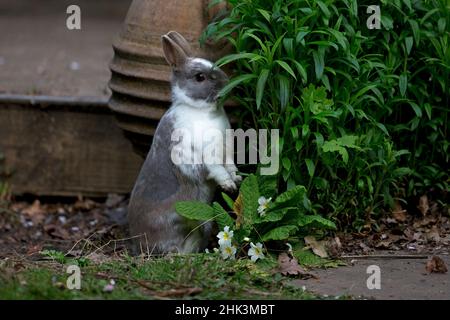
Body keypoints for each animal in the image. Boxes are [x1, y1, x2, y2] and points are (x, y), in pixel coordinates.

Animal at [126, 30, 243, 255]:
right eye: (200, 77)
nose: (227, 83)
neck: (200, 110)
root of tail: (137, 244)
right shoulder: (207, 154)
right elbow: (217, 170)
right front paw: (228, 185)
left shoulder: (226, 151)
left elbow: (230, 166)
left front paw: (237, 179)